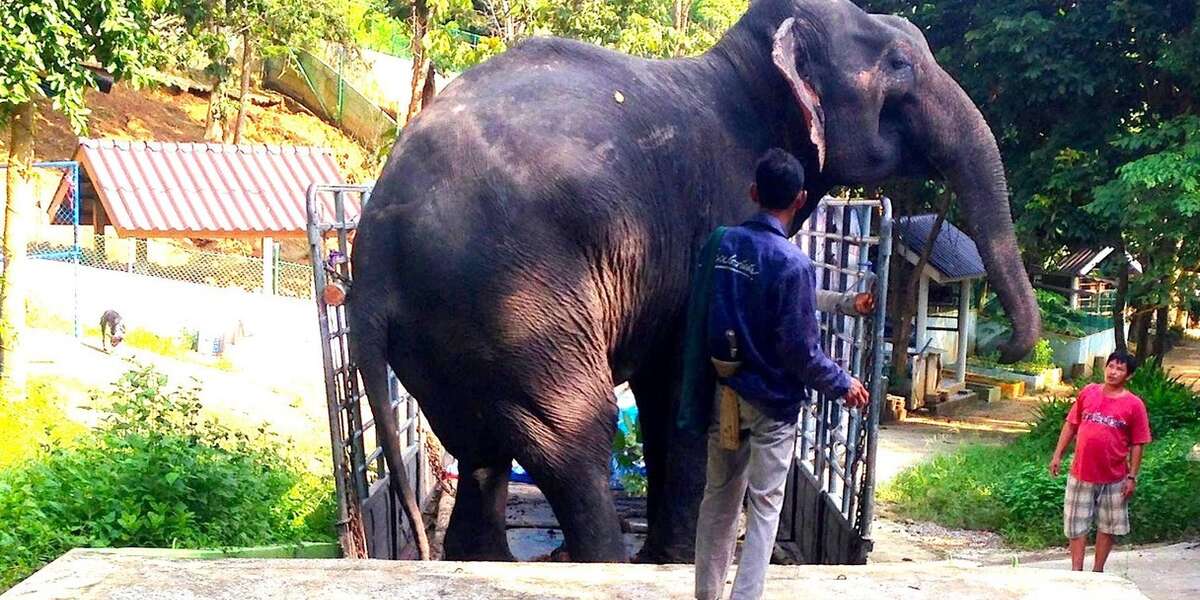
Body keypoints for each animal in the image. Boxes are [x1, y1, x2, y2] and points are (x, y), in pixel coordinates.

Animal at [348, 0, 1041, 564]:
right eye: (898, 64)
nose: (1008, 349)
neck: (744, 67)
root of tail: (372, 253)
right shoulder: (719, 218)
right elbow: (692, 378)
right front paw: (674, 561)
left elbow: (666, 384)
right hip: (514, 302)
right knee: (573, 435)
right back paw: (605, 565)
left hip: (451, 329)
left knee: (479, 445)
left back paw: (484, 561)